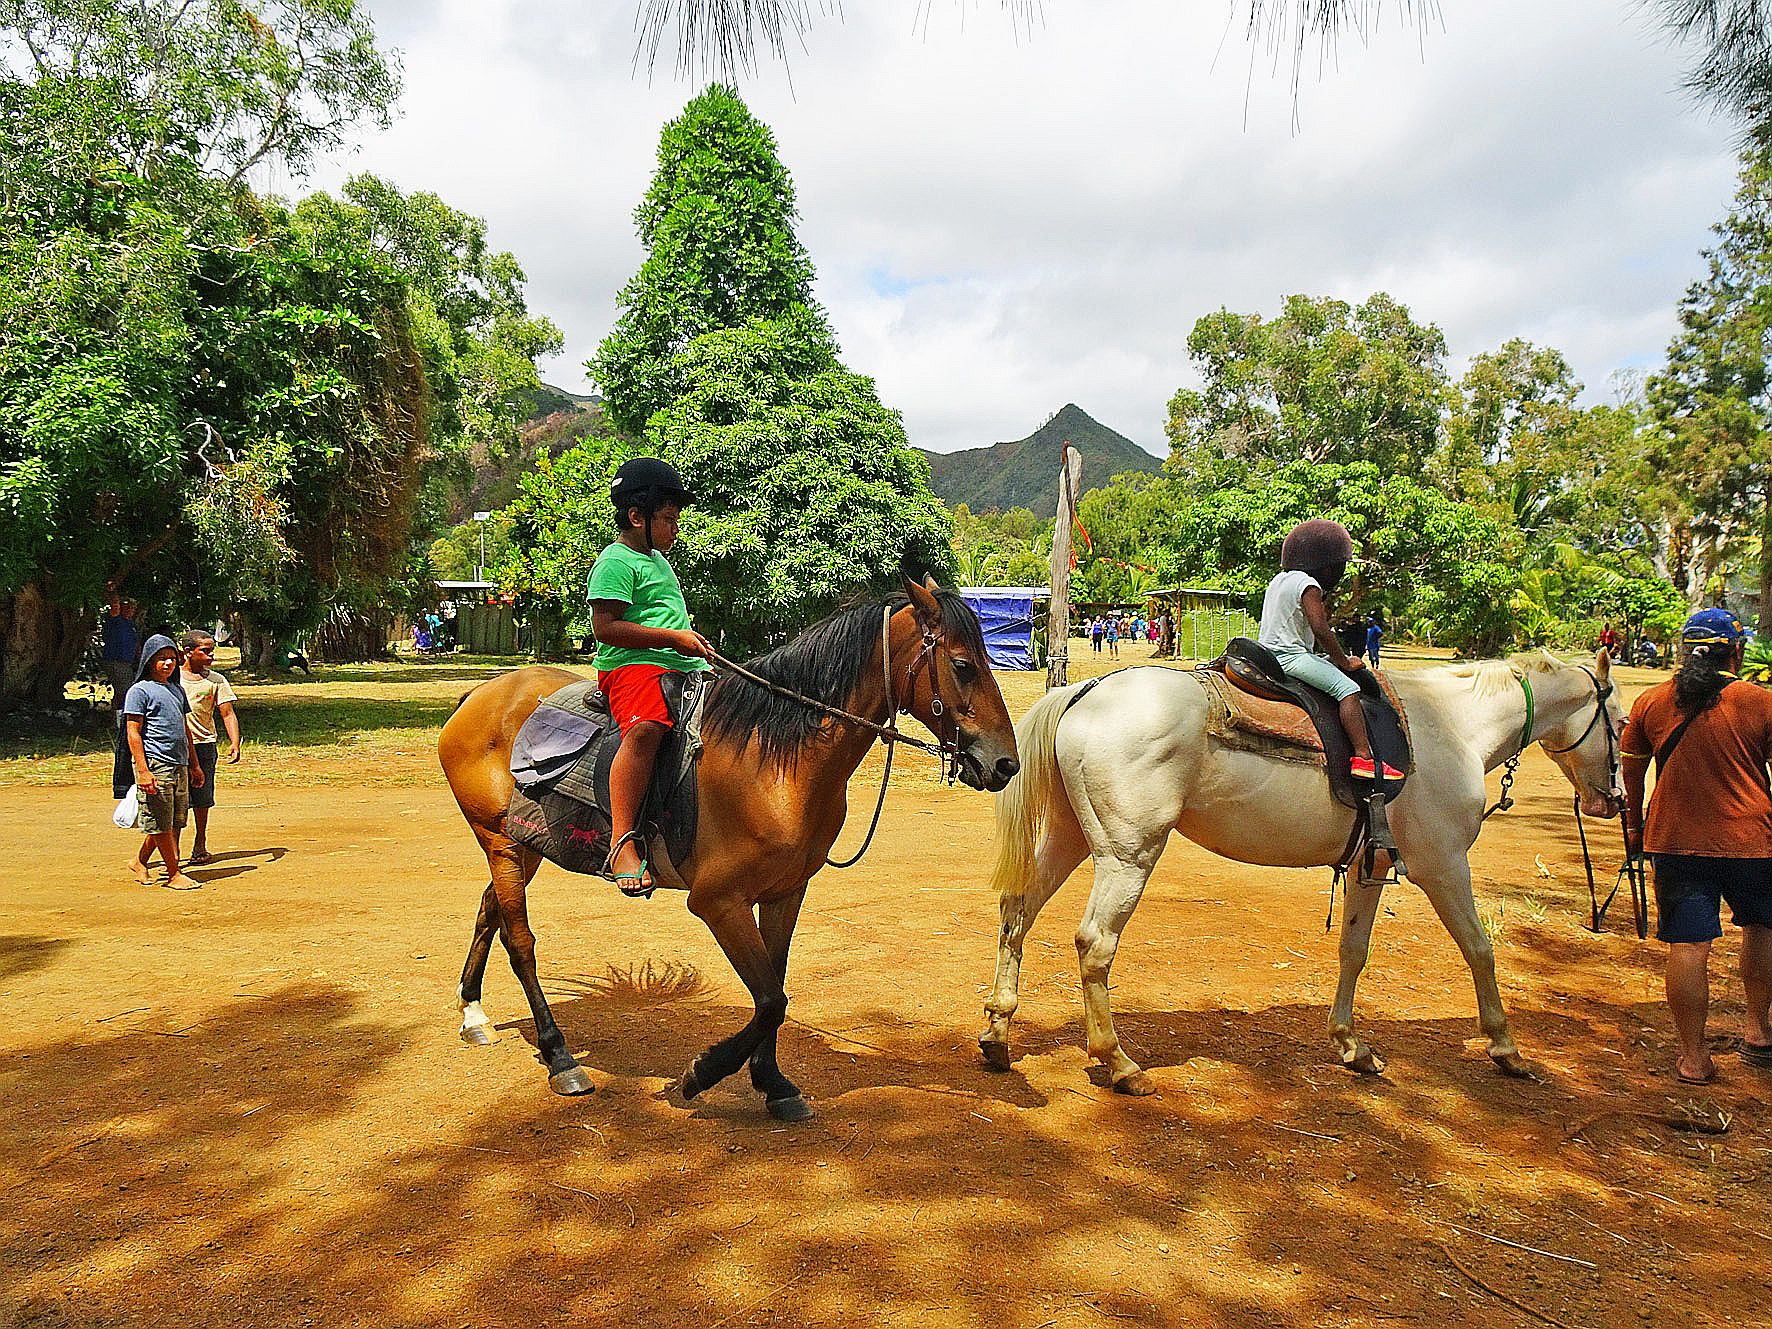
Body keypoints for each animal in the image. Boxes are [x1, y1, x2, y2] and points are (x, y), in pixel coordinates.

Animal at [438, 577, 1018, 1120]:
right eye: (963, 665)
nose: (1006, 764)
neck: (775, 758)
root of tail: (480, 697)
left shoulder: (785, 893)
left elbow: (774, 989)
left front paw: (773, 1083)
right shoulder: (717, 901)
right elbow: (770, 999)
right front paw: (704, 1072)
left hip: (523, 847)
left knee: (489, 911)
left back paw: (473, 1014)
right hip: (502, 845)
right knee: (520, 943)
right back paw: (559, 1057)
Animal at [978, 650, 1622, 1094]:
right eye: (1617, 717)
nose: (1613, 799)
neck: (1454, 727)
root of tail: (1085, 690)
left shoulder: (1369, 869)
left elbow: (1353, 952)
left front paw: (1351, 1046)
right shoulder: (1443, 866)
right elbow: (1479, 949)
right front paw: (1505, 1047)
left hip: (1069, 838)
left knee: (1017, 912)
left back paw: (998, 1034)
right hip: (1128, 854)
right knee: (1094, 943)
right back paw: (1117, 1062)